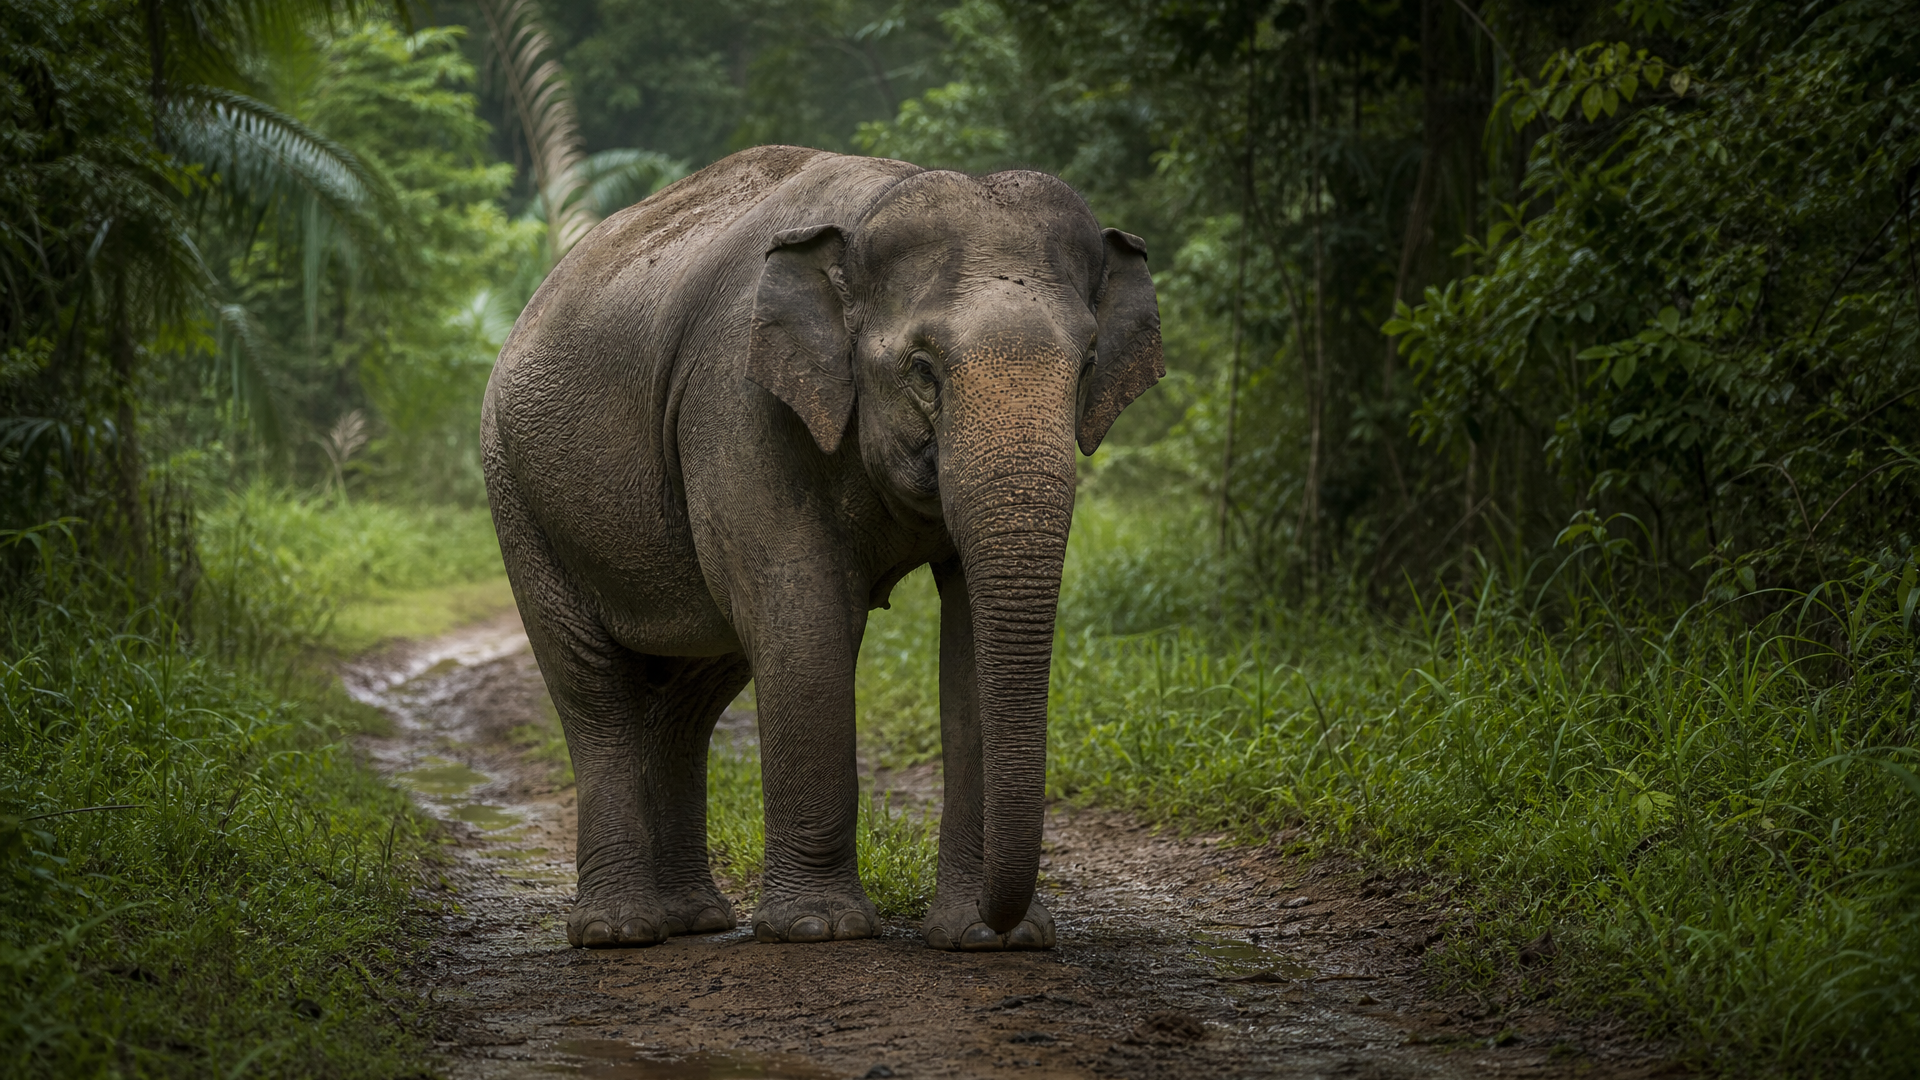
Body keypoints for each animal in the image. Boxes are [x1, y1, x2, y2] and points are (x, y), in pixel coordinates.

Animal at [481, 145, 1162, 952]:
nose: (1005, 920)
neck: (875, 204)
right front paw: (820, 930)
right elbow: (801, 612)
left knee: (691, 698)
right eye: (922, 368)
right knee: (594, 688)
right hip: (516, 491)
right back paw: (620, 933)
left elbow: (969, 632)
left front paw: (988, 941)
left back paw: (695, 920)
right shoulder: (737, 402)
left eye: (1087, 364)